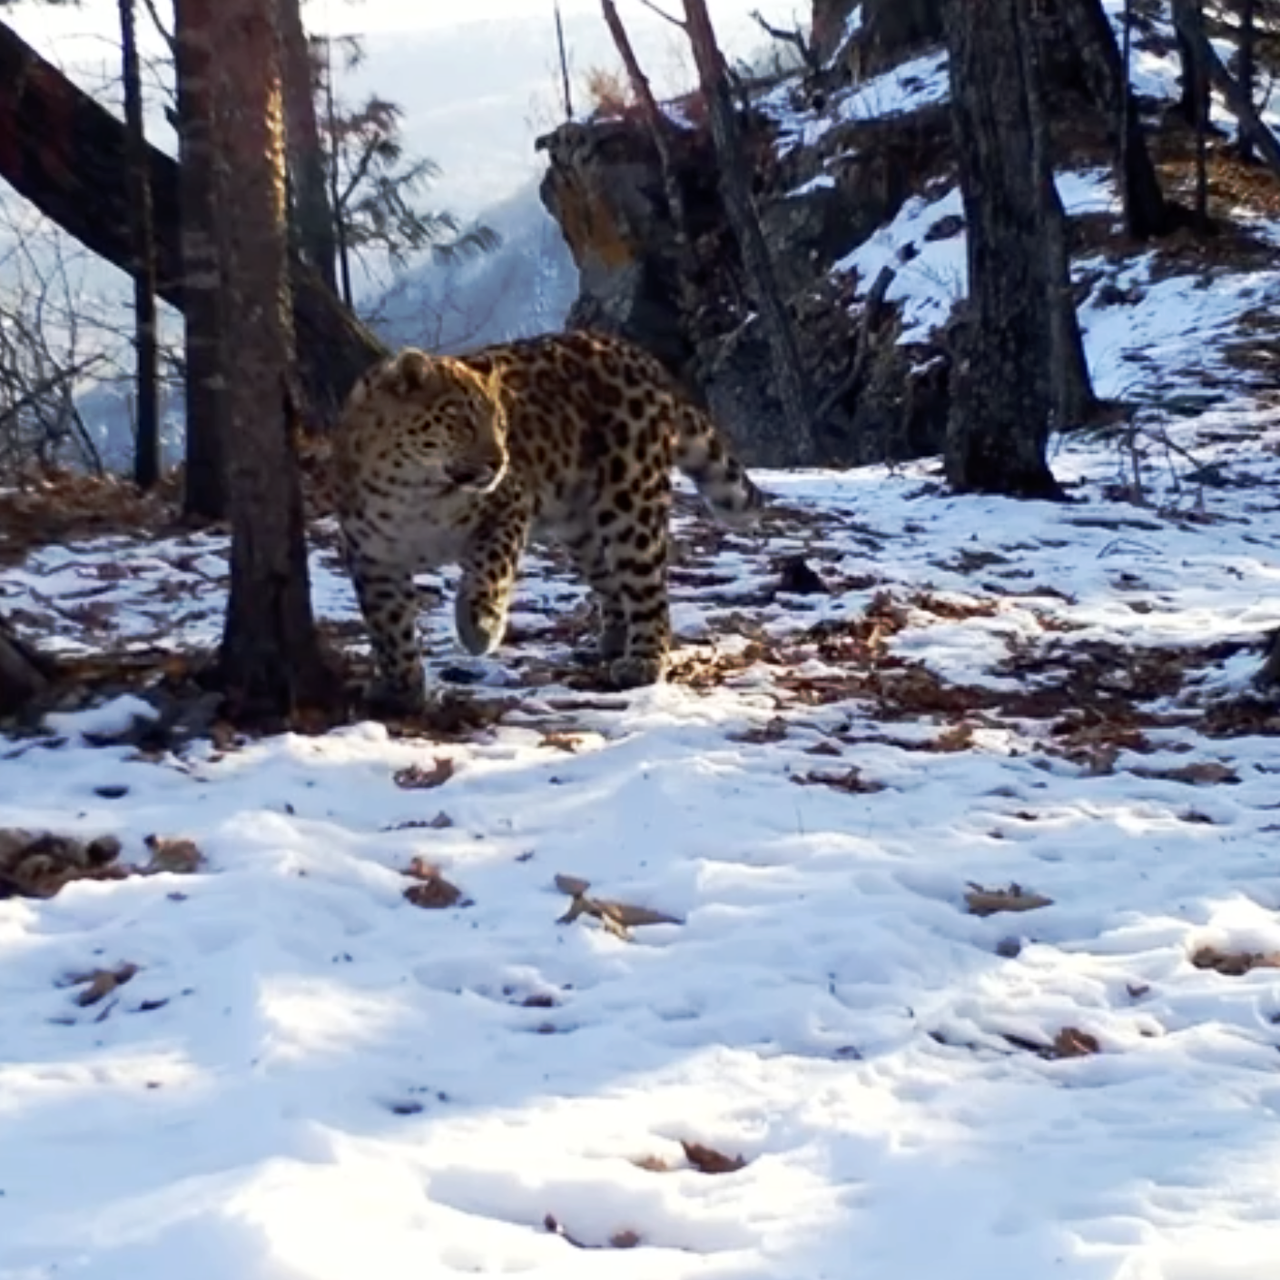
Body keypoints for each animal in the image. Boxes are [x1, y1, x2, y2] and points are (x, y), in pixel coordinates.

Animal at [335, 327, 762, 711]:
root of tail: (637, 354)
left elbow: (488, 570)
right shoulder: (373, 557)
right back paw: (611, 642)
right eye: (463, 421)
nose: (499, 462)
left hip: (630, 501)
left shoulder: (510, 505)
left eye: (501, 424)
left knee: (647, 588)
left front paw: (481, 627)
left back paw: (643, 661)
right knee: (611, 581)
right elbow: (389, 626)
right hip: (580, 529)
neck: (413, 491)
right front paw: (400, 688)